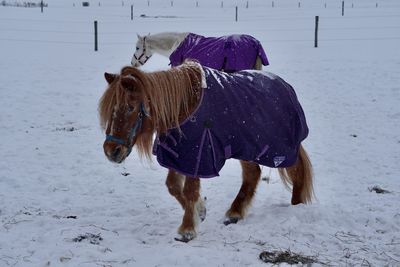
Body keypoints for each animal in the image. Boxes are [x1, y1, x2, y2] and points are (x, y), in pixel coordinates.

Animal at [98, 61, 314, 244]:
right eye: (109, 110)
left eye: (130, 107)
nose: (111, 151)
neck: (184, 107)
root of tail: (285, 86)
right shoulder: (179, 154)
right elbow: (173, 186)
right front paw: (199, 212)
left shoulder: (198, 155)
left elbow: (189, 190)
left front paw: (187, 230)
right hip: (246, 146)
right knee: (253, 174)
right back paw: (234, 214)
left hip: (281, 148)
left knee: (297, 172)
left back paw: (296, 207)